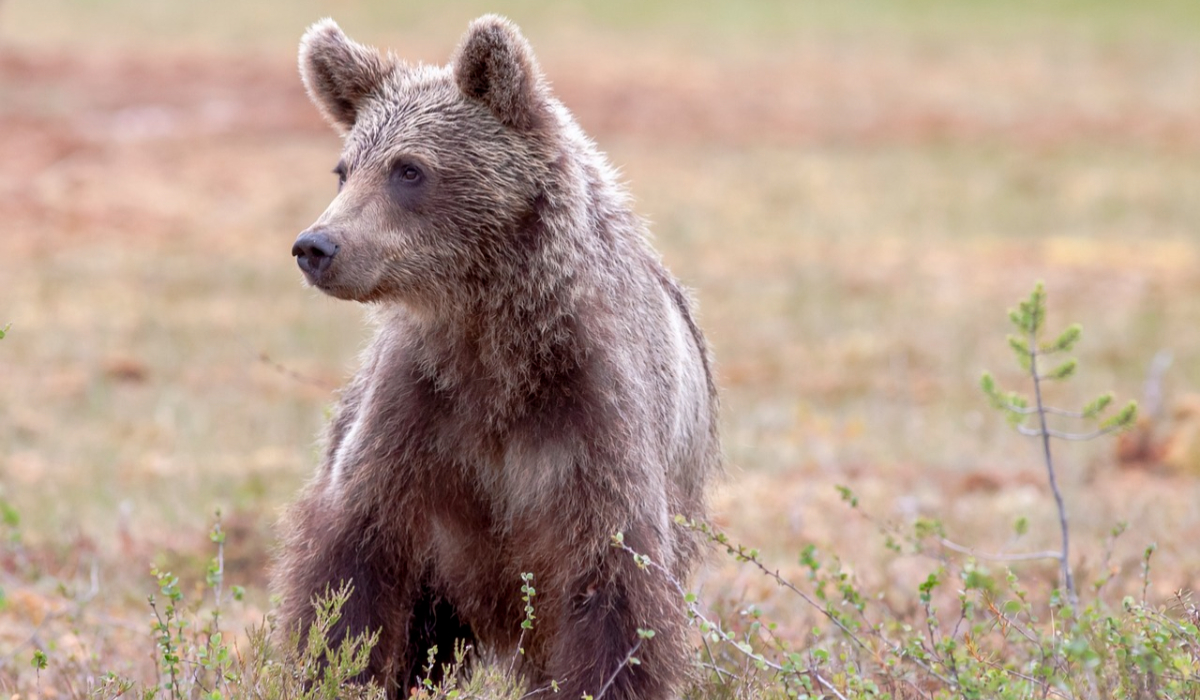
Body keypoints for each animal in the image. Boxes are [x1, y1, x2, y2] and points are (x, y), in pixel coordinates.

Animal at [276, 12, 715, 700]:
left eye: (409, 169)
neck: (496, 341)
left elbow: (615, 597)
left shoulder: (595, 420)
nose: (316, 246)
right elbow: (349, 580)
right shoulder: (416, 416)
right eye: (344, 169)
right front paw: (336, 668)